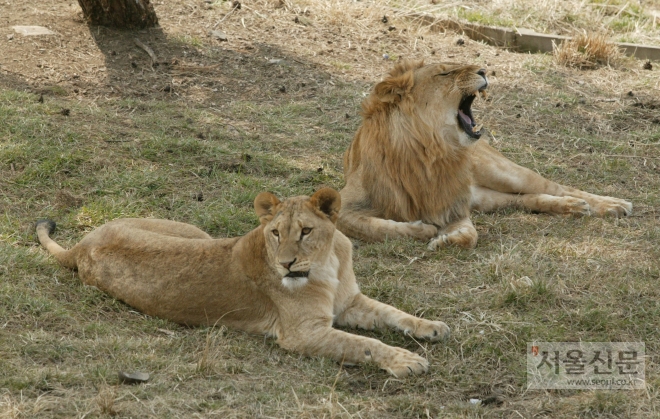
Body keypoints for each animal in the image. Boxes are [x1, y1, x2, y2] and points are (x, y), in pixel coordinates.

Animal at [36, 189, 448, 378]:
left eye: (306, 231)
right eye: (276, 233)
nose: (286, 264)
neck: (327, 262)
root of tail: (82, 245)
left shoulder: (349, 302)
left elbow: (393, 313)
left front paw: (432, 327)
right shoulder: (302, 333)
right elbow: (363, 344)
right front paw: (406, 360)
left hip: (197, 232)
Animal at [338, 60, 632, 248]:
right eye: (445, 74)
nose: (482, 69)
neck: (432, 150)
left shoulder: (454, 207)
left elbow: (470, 236)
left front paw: (444, 239)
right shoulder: (344, 206)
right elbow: (378, 229)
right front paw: (423, 229)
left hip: (504, 173)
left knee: (557, 186)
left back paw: (613, 205)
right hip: (485, 198)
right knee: (525, 199)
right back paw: (573, 207)